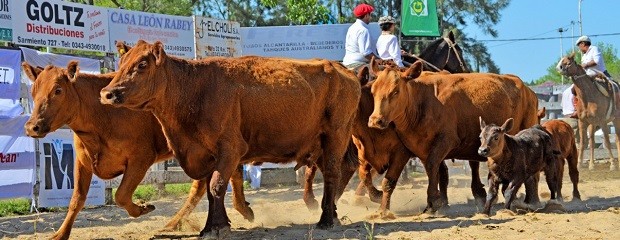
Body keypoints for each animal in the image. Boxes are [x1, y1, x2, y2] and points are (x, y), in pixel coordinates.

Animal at [22, 62, 254, 240]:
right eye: (33, 92)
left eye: (58, 90)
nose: (32, 126)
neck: (100, 115)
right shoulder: (82, 162)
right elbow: (76, 200)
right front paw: (60, 234)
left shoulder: (140, 159)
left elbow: (121, 195)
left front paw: (143, 208)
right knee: (214, 180)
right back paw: (176, 223)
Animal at [99, 40, 360, 237]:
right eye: (122, 63)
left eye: (142, 64)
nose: (107, 93)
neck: (195, 89)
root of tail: (343, 71)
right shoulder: (205, 154)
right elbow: (210, 189)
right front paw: (215, 225)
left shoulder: (231, 149)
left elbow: (216, 185)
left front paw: (216, 227)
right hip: (321, 143)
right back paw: (333, 213)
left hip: (336, 135)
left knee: (333, 173)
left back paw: (326, 220)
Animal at [368, 61, 536, 212]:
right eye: (373, 91)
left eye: (396, 91)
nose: (376, 120)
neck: (422, 102)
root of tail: (528, 91)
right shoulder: (408, 148)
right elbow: (395, 179)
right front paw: (383, 211)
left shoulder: (446, 141)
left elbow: (432, 166)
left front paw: (433, 201)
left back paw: (529, 201)